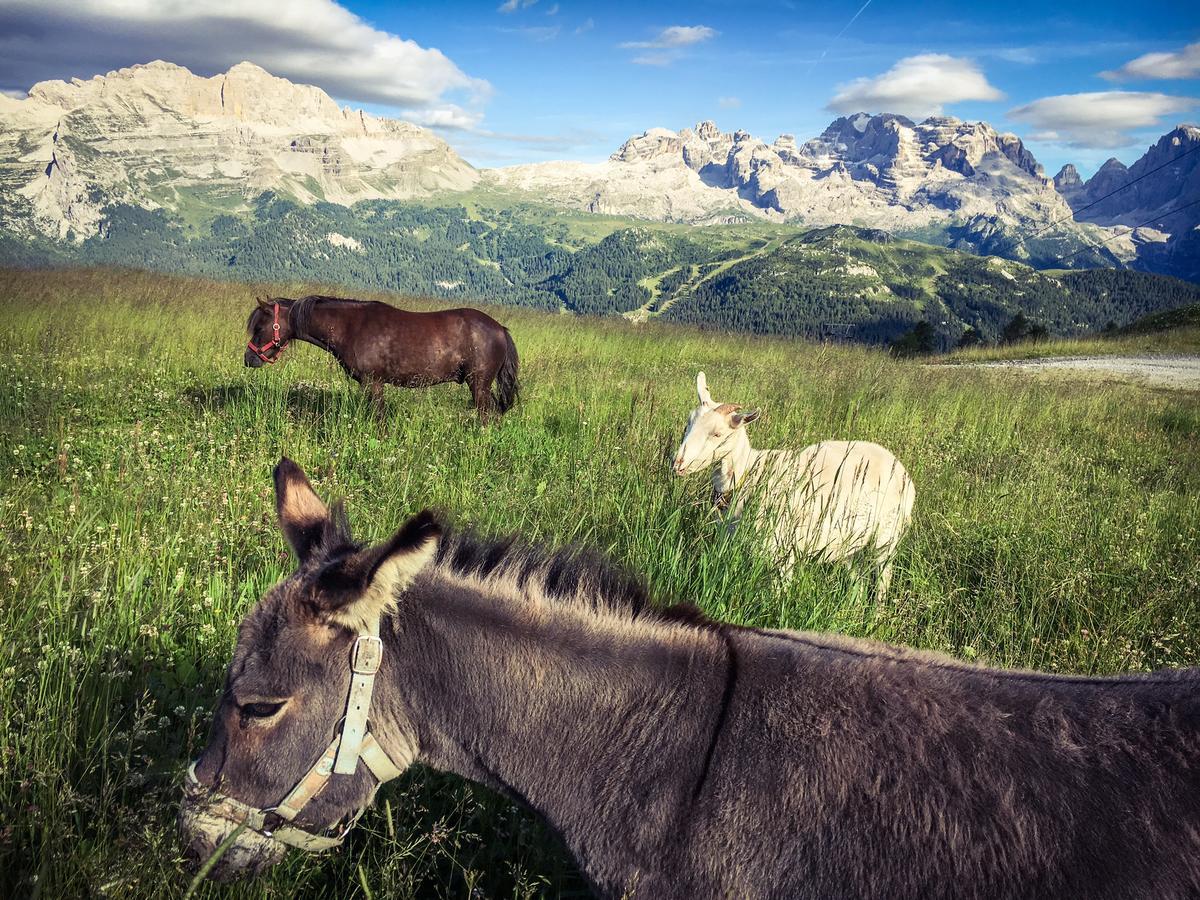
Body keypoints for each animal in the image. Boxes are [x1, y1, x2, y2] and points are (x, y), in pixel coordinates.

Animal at [244, 297, 520, 422]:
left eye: (259, 327)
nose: (249, 358)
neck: (351, 327)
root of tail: (500, 328)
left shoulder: (373, 382)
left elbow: (378, 417)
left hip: (479, 385)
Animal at [672, 374, 912, 600]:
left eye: (718, 434)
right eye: (688, 424)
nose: (678, 463)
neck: (750, 473)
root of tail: (899, 467)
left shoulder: (782, 553)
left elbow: (778, 594)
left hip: (886, 538)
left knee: (883, 578)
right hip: (850, 544)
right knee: (858, 580)